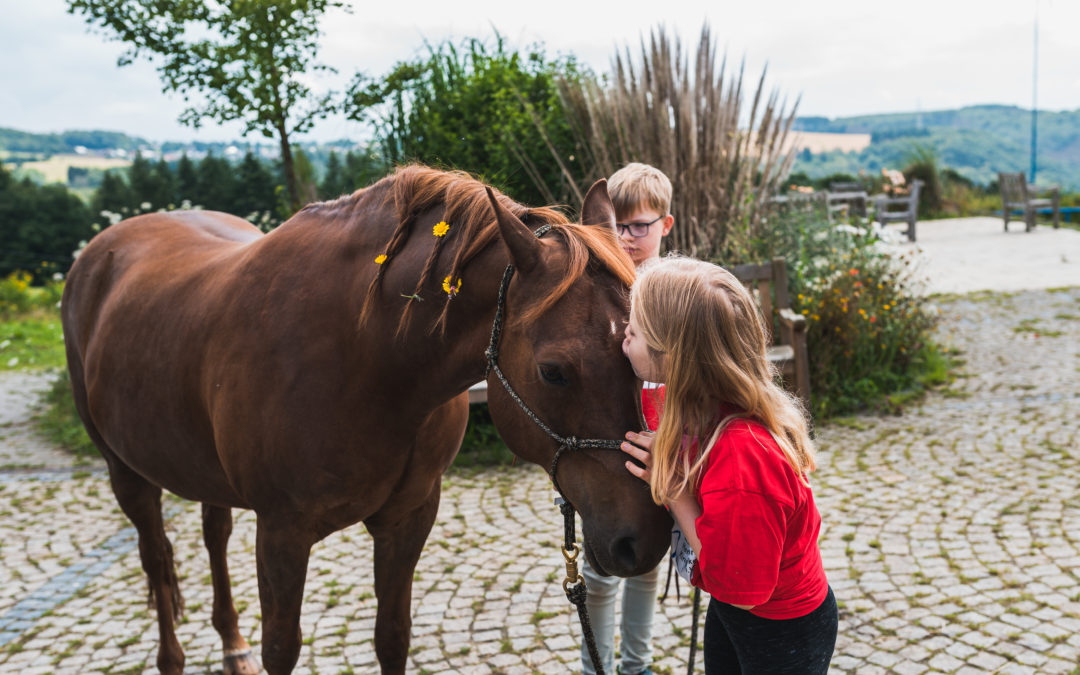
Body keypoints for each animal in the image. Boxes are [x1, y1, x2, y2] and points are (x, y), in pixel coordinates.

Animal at [61, 164, 673, 673]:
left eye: (641, 359)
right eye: (554, 372)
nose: (643, 539)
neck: (368, 359)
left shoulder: (408, 519)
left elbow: (392, 636)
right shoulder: (281, 533)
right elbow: (281, 648)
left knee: (213, 534)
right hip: (126, 473)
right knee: (156, 559)